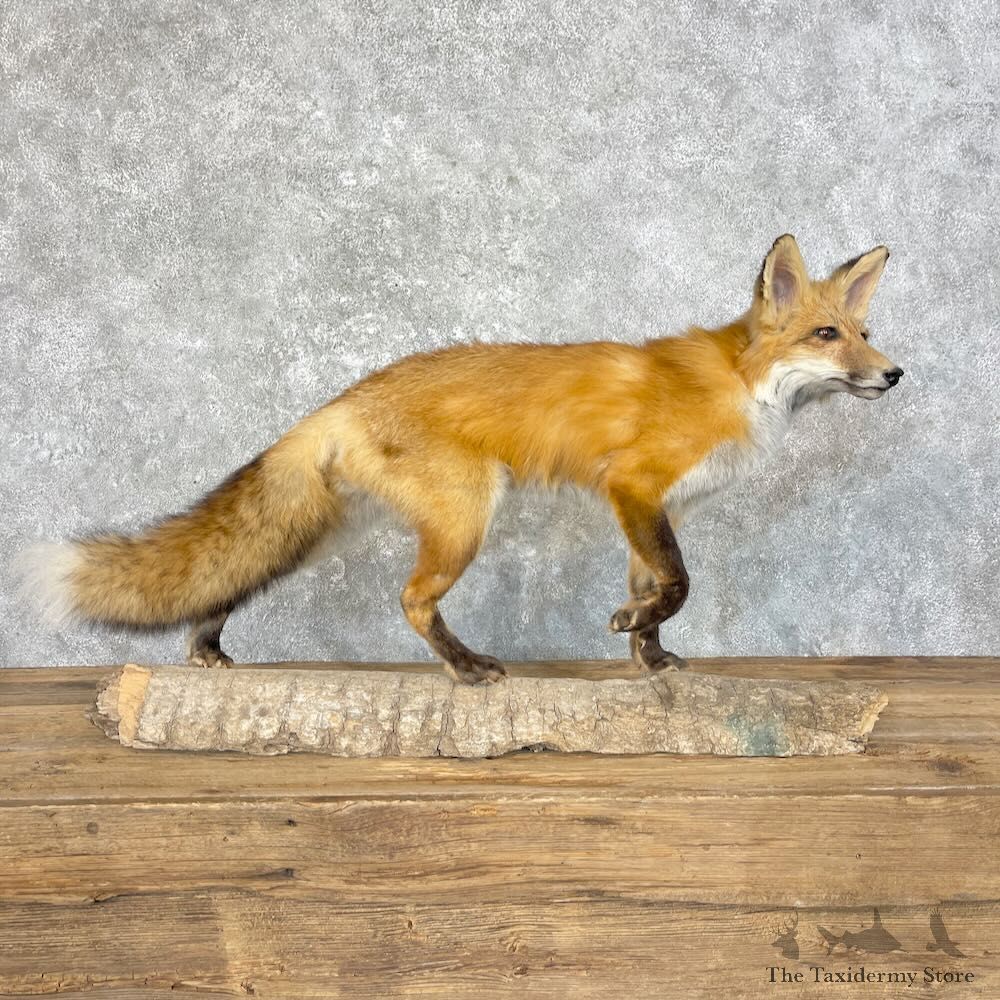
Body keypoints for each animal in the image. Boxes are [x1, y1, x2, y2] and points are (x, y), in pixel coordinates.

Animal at [19, 234, 903, 684]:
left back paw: (205, 651)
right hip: (462, 521)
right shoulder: (633, 486)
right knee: (412, 602)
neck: (740, 384)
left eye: (864, 333)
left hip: (324, 533)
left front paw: (650, 660)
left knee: (228, 578)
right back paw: (468, 667)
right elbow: (679, 584)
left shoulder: (655, 510)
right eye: (828, 335)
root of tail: (343, 397)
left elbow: (653, 588)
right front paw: (636, 631)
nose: (895, 374)